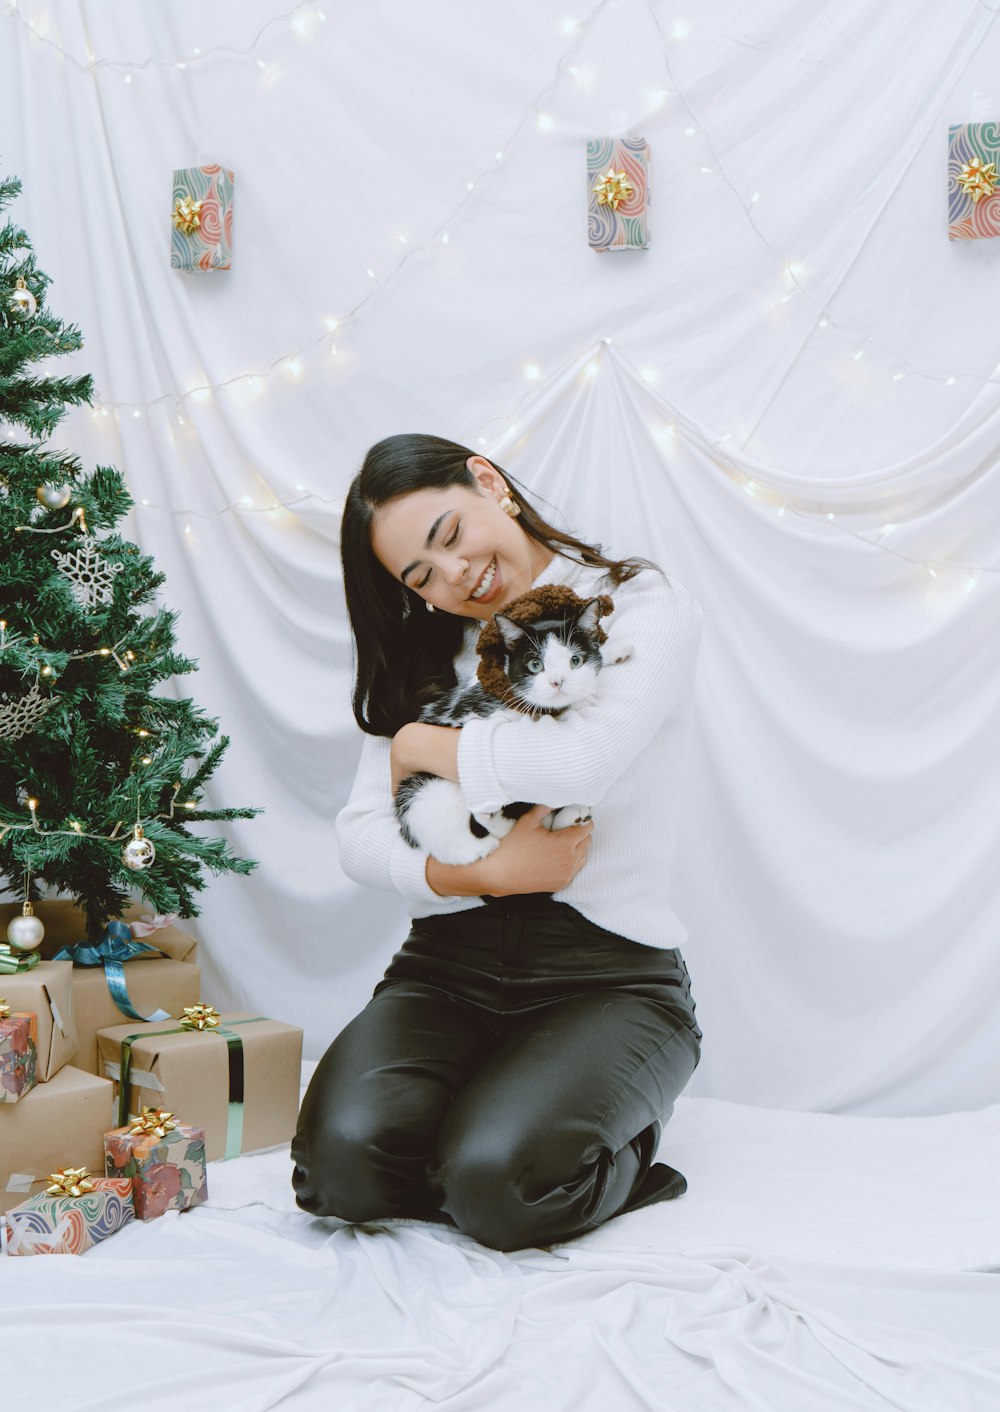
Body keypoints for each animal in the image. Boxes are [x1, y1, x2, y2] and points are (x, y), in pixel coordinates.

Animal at [392, 593, 610, 864]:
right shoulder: (465, 712)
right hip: (423, 791)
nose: (557, 682)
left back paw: (570, 816)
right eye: (535, 665)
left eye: (575, 660)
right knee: (483, 841)